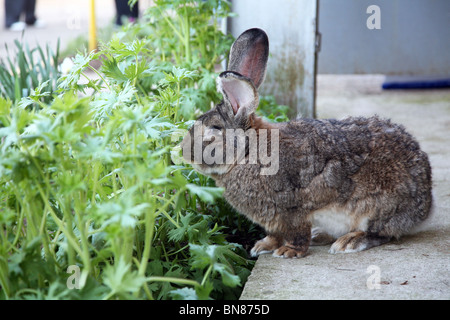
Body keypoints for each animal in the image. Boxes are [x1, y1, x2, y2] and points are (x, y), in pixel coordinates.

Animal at [179, 27, 432, 258]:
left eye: (214, 129)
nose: (183, 152)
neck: (248, 152)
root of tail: (426, 205)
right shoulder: (274, 218)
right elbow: (275, 234)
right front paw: (263, 246)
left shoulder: (294, 208)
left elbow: (297, 232)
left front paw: (288, 252)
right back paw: (321, 235)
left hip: (377, 207)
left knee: (382, 233)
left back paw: (349, 242)